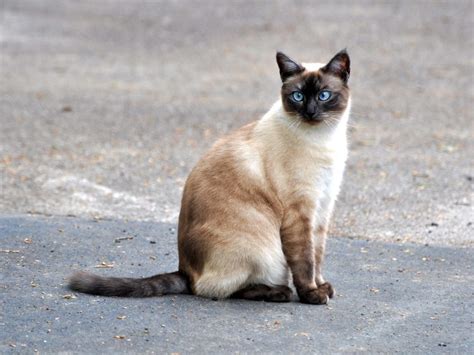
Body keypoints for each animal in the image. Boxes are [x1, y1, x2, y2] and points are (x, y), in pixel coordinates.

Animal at [68, 49, 350, 306]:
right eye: (298, 96)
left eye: (324, 96)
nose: (310, 112)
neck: (324, 140)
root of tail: (185, 271)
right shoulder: (300, 213)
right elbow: (305, 262)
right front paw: (313, 295)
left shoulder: (322, 209)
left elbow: (317, 256)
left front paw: (323, 286)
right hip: (263, 251)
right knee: (221, 290)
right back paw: (279, 293)